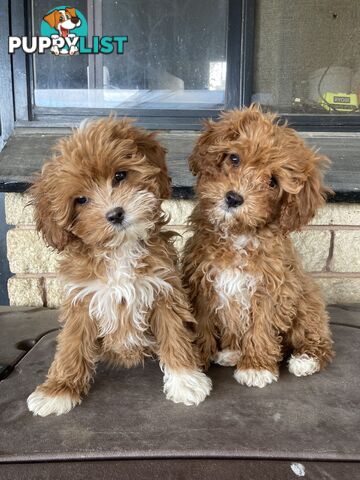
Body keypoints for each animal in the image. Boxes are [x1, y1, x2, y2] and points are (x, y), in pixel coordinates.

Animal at [27, 117, 211, 416]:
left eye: (120, 175)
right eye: (81, 200)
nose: (115, 214)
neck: (119, 250)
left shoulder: (164, 289)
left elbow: (175, 333)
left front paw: (186, 381)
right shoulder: (81, 298)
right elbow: (72, 345)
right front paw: (57, 390)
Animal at [183, 107, 334, 388]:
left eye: (273, 182)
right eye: (234, 158)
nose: (233, 198)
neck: (238, 235)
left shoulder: (274, 288)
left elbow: (262, 328)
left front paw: (256, 367)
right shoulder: (203, 281)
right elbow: (202, 322)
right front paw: (197, 358)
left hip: (307, 302)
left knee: (317, 338)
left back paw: (306, 359)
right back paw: (231, 351)